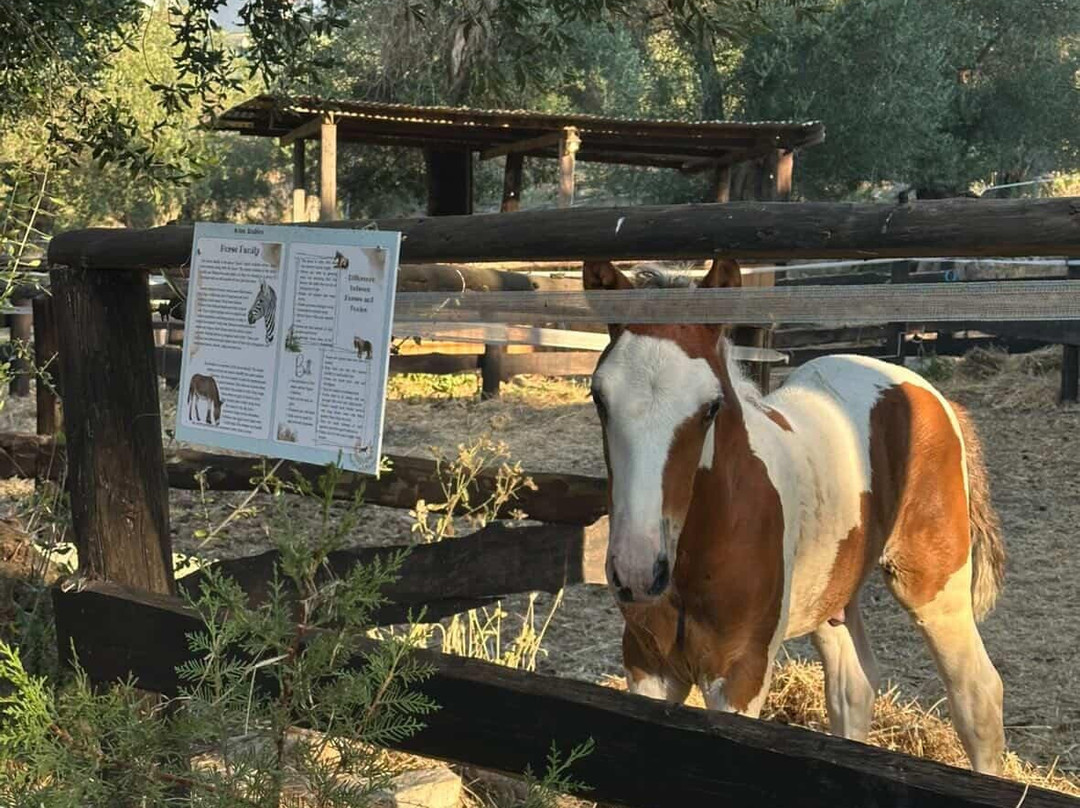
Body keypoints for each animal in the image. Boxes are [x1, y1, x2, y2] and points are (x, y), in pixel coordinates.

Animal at [584, 258, 1006, 774]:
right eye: (599, 398)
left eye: (710, 406)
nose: (638, 570)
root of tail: (931, 395)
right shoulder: (647, 664)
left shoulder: (741, 675)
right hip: (832, 588)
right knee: (854, 685)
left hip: (933, 585)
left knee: (977, 695)